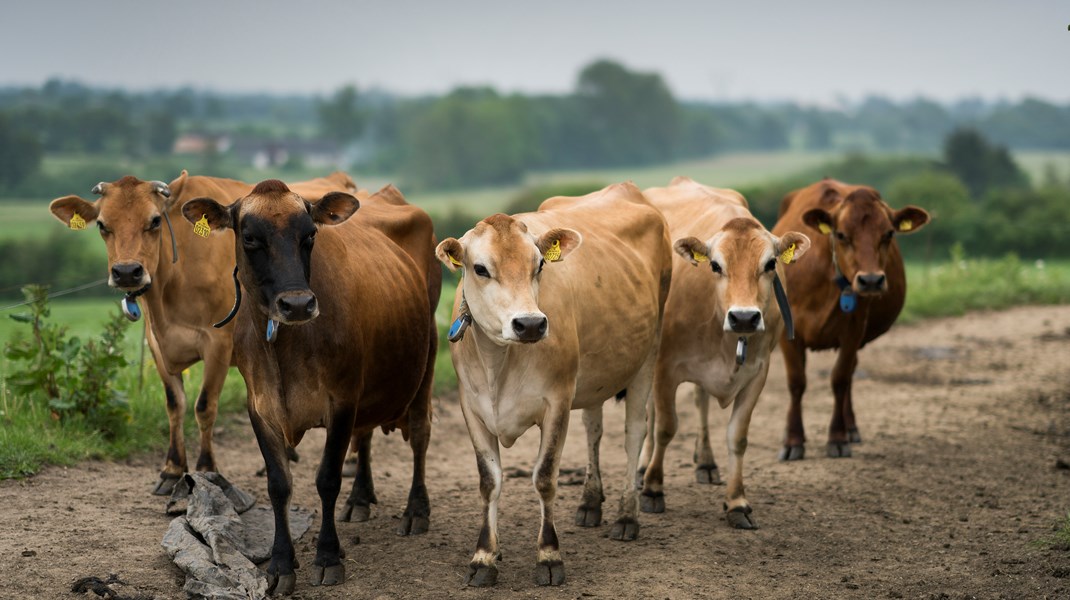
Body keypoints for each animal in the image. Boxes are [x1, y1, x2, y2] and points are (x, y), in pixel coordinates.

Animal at [47, 166, 359, 491]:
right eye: (102, 224)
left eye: (155, 221)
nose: (127, 272)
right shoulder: (156, 343)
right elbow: (175, 404)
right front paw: (172, 469)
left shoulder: (218, 342)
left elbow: (205, 406)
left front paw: (207, 469)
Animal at [181, 178, 436, 594]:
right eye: (249, 237)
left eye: (310, 235)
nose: (298, 304)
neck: (286, 348)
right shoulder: (261, 407)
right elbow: (279, 485)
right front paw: (281, 564)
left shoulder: (343, 400)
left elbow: (328, 478)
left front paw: (328, 557)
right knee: (366, 434)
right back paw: (360, 498)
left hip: (426, 361)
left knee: (419, 433)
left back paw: (416, 510)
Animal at [434, 181, 667, 586]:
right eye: (480, 268)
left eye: (539, 264)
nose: (529, 324)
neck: (499, 364)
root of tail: (626, 188)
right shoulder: (472, 407)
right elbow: (489, 480)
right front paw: (484, 556)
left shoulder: (557, 402)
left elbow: (544, 477)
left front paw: (549, 556)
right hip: (594, 373)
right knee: (594, 428)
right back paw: (590, 501)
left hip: (647, 355)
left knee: (634, 433)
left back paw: (627, 515)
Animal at [633, 176, 808, 528]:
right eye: (715, 265)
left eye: (770, 264)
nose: (744, 317)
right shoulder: (665, 369)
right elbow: (665, 427)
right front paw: (653, 489)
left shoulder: (758, 372)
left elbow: (737, 436)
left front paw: (737, 502)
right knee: (652, 414)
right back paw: (644, 469)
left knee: (700, 402)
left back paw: (706, 463)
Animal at [770, 177, 928, 457]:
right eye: (841, 234)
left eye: (888, 234)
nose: (871, 280)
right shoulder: (789, 332)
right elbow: (796, 382)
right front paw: (793, 440)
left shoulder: (853, 330)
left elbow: (840, 379)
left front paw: (837, 436)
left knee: (850, 373)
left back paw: (851, 427)